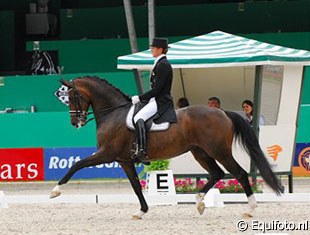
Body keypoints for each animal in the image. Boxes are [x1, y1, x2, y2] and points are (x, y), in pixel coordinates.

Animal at [50, 76, 284, 219]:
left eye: (72, 97)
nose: (76, 122)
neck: (113, 113)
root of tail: (223, 112)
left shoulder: (106, 154)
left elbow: (77, 165)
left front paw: (55, 191)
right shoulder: (124, 160)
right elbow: (135, 186)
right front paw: (142, 211)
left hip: (219, 151)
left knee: (239, 173)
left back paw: (250, 209)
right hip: (200, 152)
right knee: (217, 173)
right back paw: (199, 202)